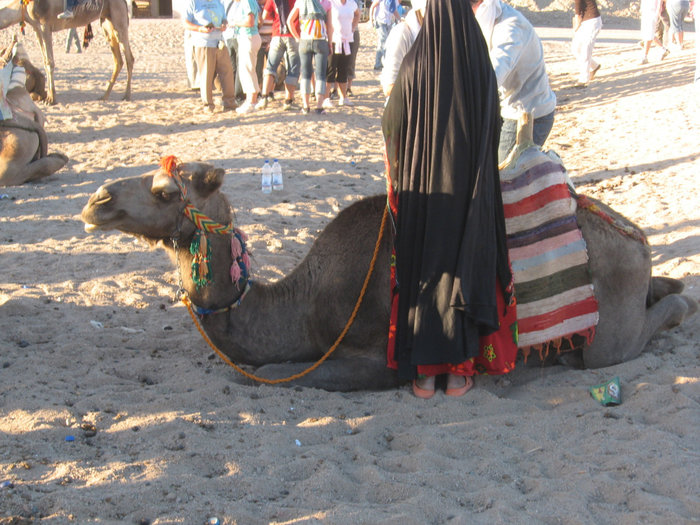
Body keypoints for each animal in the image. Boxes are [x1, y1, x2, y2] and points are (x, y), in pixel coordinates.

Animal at [0, 0, 134, 104]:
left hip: (119, 19)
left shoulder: (45, 25)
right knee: (118, 60)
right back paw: (104, 96)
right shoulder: (36, 28)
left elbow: (49, 62)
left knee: (129, 57)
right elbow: (45, 61)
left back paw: (126, 95)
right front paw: (49, 97)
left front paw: (51, 99)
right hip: (107, 21)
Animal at [80, 155, 696, 388]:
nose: (96, 200)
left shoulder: (379, 358)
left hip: (606, 329)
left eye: (166, 190)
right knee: (665, 286)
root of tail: (634, 236)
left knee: (626, 336)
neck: (301, 303)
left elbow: (281, 373)